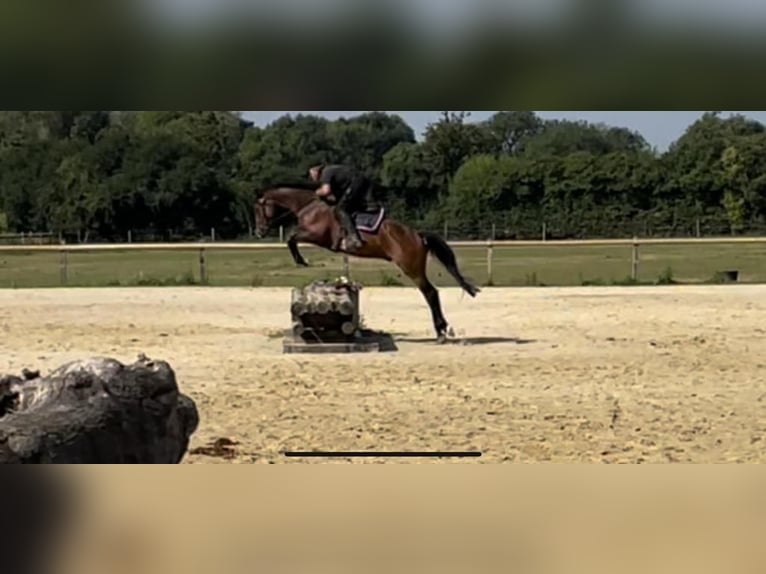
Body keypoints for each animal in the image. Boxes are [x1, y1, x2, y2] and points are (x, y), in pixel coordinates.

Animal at [253, 185, 480, 343]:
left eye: (258, 210)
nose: (259, 232)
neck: (308, 206)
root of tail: (417, 235)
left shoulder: (316, 235)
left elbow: (291, 238)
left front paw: (300, 260)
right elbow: (291, 238)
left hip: (411, 267)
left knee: (430, 293)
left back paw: (440, 331)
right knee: (431, 293)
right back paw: (441, 330)